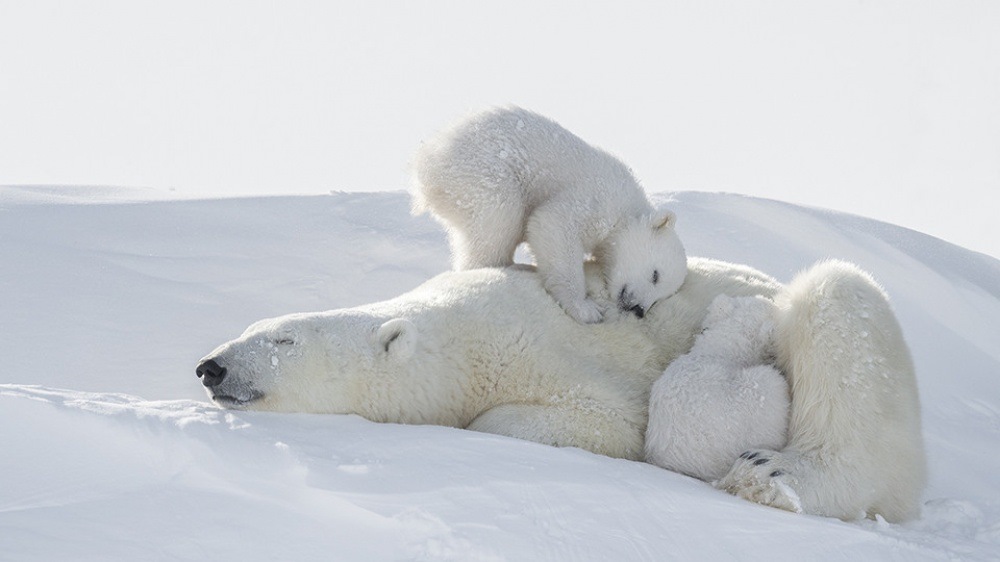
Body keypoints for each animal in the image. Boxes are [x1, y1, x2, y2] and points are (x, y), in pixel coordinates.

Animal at [408, 106, 688, 322]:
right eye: (656, 275)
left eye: (664, 296)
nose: (639, 309)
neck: (628, 208)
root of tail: (426, 163)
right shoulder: (598, 199)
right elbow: (552, 223)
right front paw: (586, 308)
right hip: (483, 172)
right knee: (500, 216)